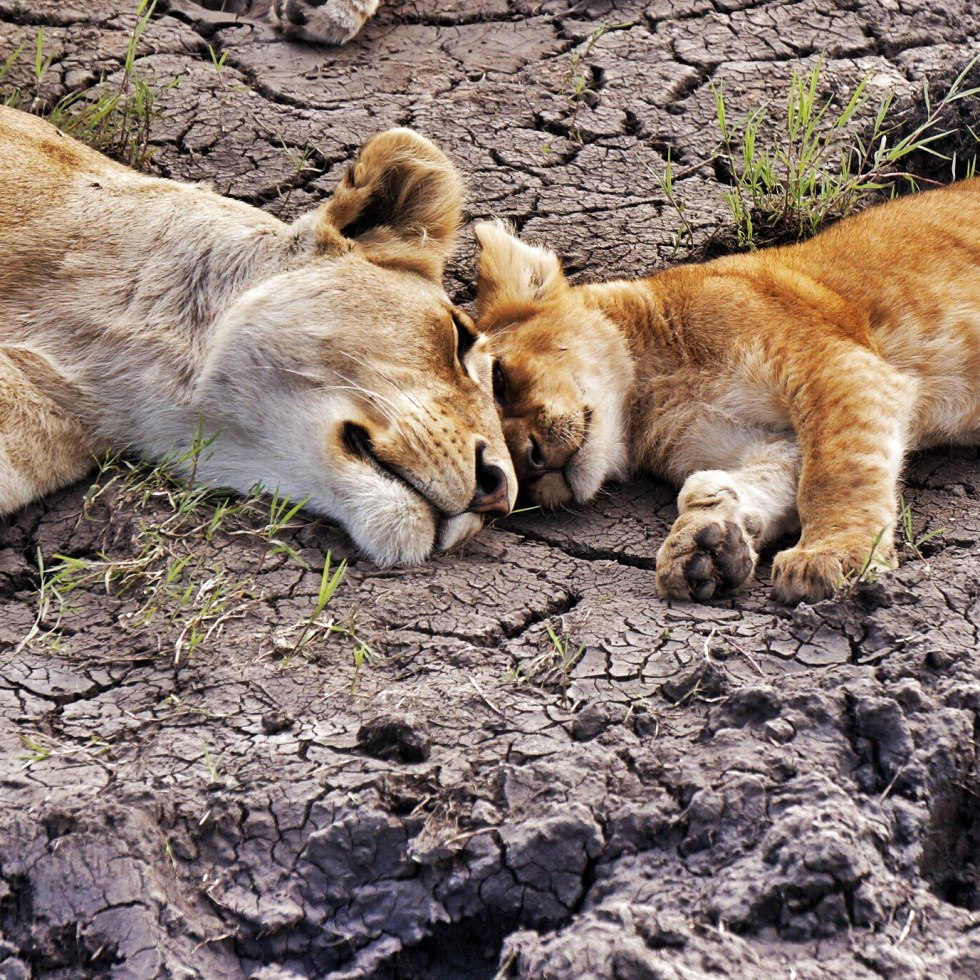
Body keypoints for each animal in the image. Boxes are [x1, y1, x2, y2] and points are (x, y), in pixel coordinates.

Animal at [473, 180, 980, 604]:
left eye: (498, 377)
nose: (532, 463)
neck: (652, 398)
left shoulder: (836, 364)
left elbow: (837, 470)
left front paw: (831, 555)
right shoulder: (761, 439)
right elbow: (723, 482)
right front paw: (703, 549)